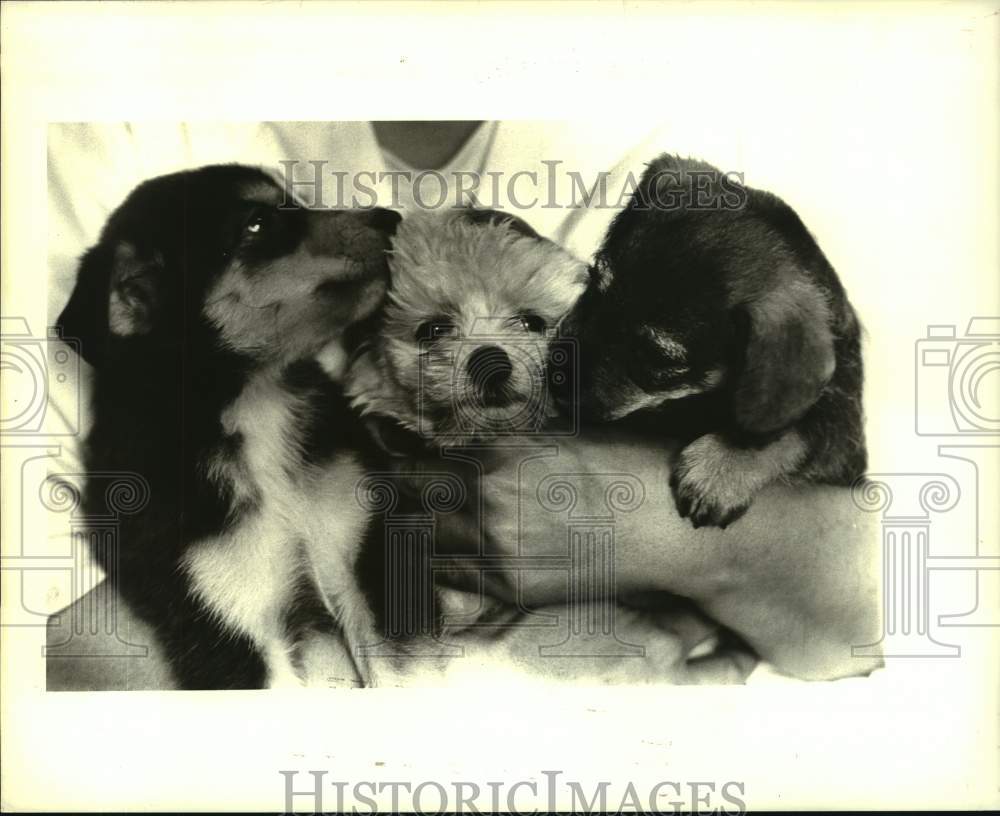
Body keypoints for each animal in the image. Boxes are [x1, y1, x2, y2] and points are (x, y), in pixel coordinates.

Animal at [564, 156, 868, 528]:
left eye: (658, 358)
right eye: (595, 283)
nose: (553, 371)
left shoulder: (842, 436)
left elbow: (791, 432)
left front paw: (720, 471)